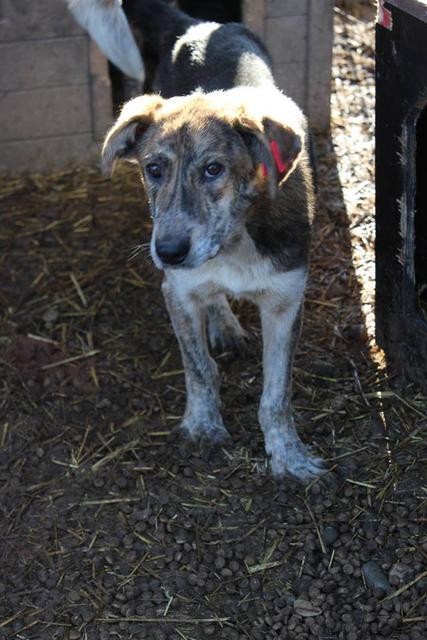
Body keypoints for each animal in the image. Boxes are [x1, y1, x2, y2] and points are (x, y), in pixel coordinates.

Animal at [98, 0, 326, 480]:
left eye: (213, 169)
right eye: (154, 169)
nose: (167, 252)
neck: (234, 241)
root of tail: (194, 23)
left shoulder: (286, 301)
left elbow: (277, 395)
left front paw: (289, 458)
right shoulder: (177, 291)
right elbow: (199, 368)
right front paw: (203, 428)